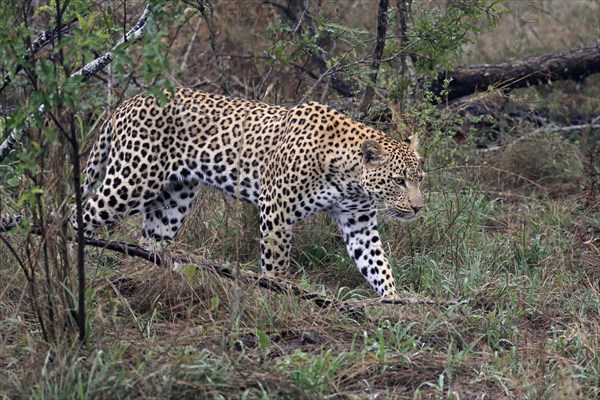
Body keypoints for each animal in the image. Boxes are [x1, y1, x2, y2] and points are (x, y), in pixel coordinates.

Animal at [76, 89, 426, 298]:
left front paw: (394, 301)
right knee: (81, 213)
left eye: (420, 179)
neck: (349, 178)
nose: (419, 208)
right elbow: (276, 260)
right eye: (398, 181)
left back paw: (147, 277)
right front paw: (278, 293)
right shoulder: (277, 208)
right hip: (131, 180)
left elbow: (377, 263)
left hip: (174, 199)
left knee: (148, 240)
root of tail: (129, 101)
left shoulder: (359, 223)